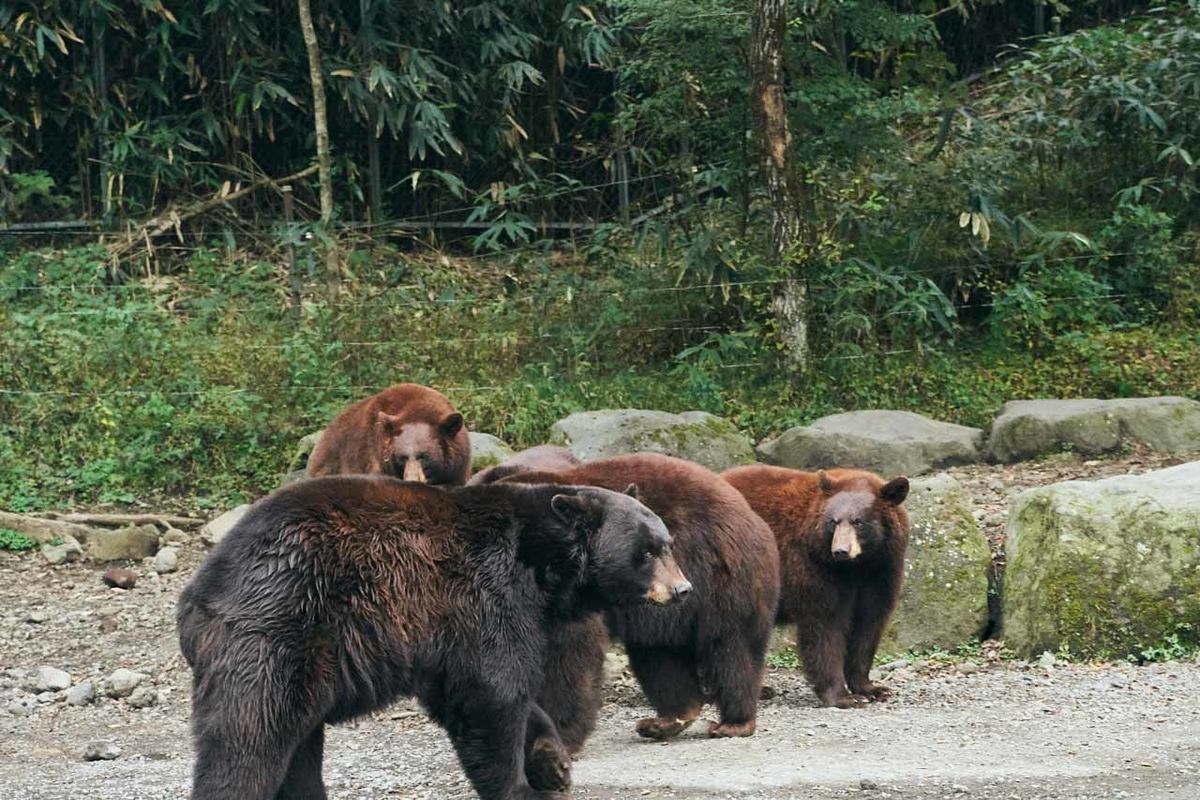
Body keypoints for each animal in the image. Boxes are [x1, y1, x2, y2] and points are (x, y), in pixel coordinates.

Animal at [174, 474, 691, 800]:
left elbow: (470, 693)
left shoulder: (444, 636)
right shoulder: (487, 594)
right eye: (646, 552)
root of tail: (197, 594)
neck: (541, 565)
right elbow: (493, 692)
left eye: (667, 544)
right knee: (251, 736)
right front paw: (522, 787)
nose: (684, 589)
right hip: (278, 628)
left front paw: (553, 761)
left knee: (297, 743)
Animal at [501, 453, 782, 743]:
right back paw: (667, 719)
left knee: (730, 649)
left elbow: (569, 652)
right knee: (661, 657)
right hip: (663, 613)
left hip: (722, 579)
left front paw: (560, 728)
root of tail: (750, 513)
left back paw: (734, 722)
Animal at [720, 465, 907, 710]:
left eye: (859, 521)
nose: (840, 550)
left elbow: (869, 623)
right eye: (833, 521)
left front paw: (872, 688)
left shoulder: (881, 571)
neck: (856, 566)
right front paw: (843, 696)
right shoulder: (811, 566)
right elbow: (825, 624)